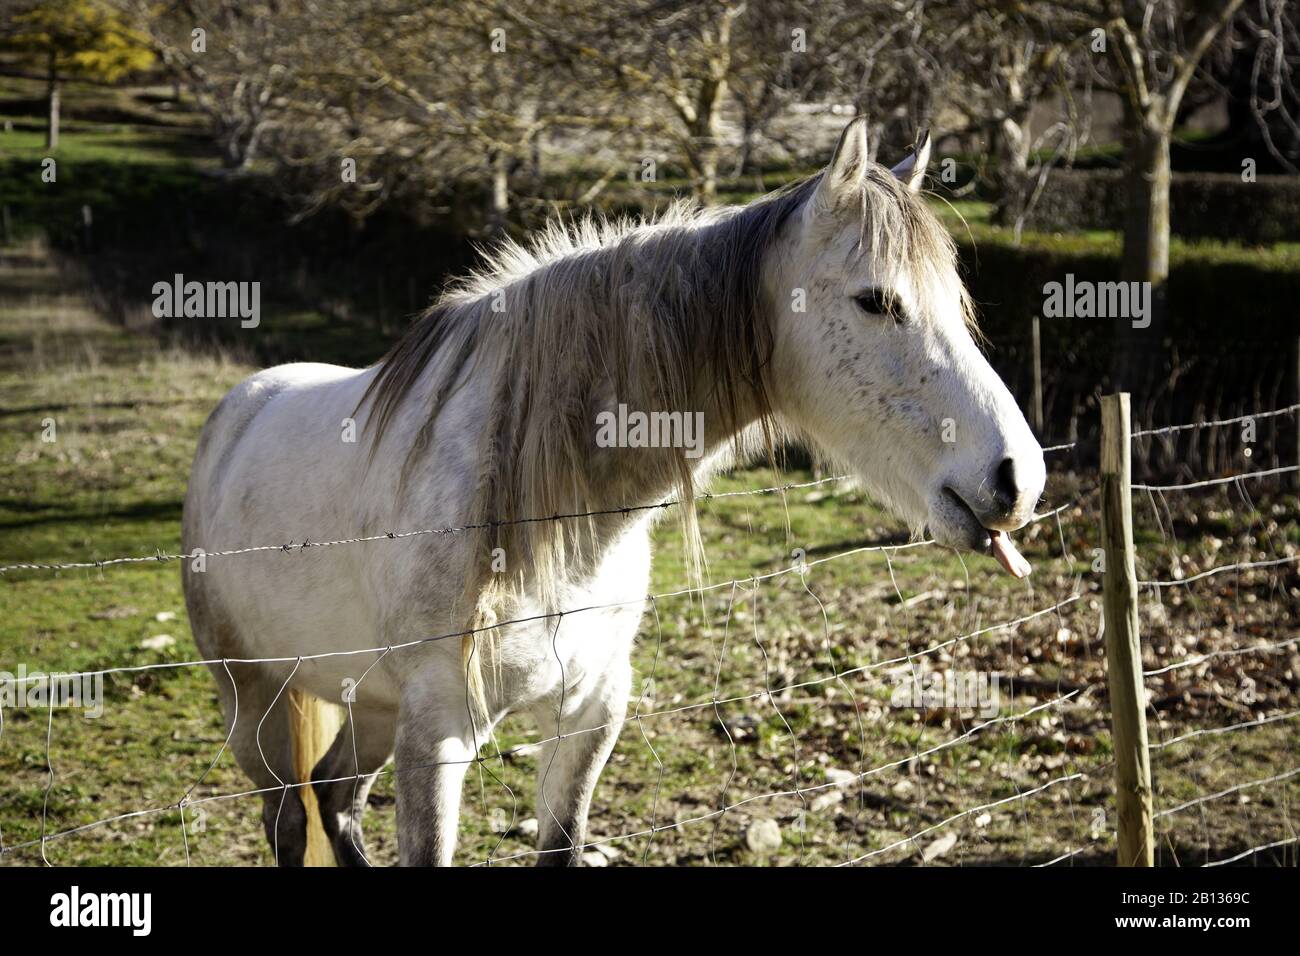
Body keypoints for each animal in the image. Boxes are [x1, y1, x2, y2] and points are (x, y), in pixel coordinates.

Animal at [181, 118, 1045, 867]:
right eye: (876, 300)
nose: (1018, 478)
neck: (541, 507)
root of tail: (239, 409)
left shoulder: (589, 713)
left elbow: (560, 845)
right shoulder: (437, 737)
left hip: (370, 704)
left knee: (334, 798)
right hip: (254, 708)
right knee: (291, 818)